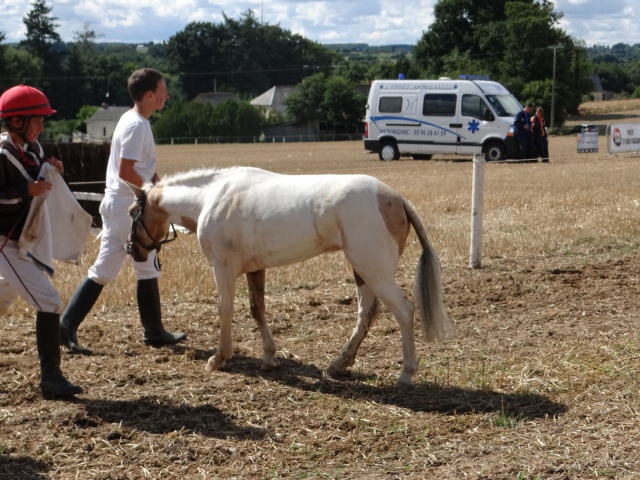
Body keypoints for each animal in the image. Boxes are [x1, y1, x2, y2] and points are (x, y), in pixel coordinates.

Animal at [127, 167, 452, 388]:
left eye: (132, 211)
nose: (133, 250)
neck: (212, 197)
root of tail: (396, 199)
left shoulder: (223, 267)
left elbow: (225, 310)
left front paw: (218, 358)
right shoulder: (255, 269)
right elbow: (257, 310)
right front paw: (269, 359)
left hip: (374, 271)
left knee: (404, 310)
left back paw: (406, 373)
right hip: (364, 271)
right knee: (367, 313)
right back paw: (339, 365)